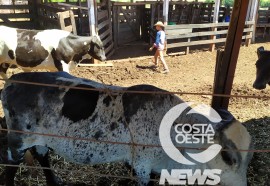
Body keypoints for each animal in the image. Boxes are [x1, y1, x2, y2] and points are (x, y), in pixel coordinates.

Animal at [0, 72, 253, 185]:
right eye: (228, 157)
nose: (242, 185)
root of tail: (13, 79)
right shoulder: (141, 165)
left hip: (41, 139)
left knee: (42, 156)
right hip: (17, 140)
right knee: (11, 166)